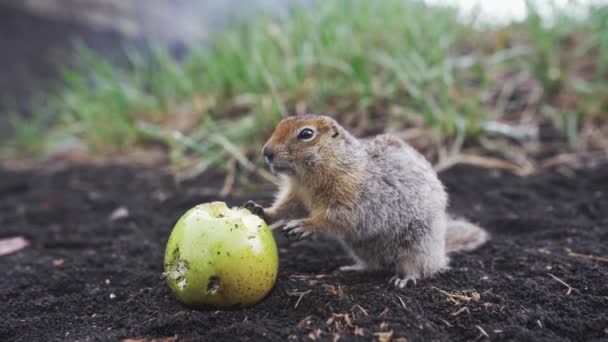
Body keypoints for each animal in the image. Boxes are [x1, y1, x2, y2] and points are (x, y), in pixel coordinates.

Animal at [245, 114, 486, 286]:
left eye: (306, 134)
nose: (266, 152)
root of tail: (440, 251)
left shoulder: (354, 196)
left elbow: (339, 217)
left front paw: (305, 225)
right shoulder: (297, 193)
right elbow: (287, 207)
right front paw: (260, 210)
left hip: (417, 244)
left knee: (421, 268)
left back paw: (404, 278)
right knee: (375, 266)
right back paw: (354, 269)